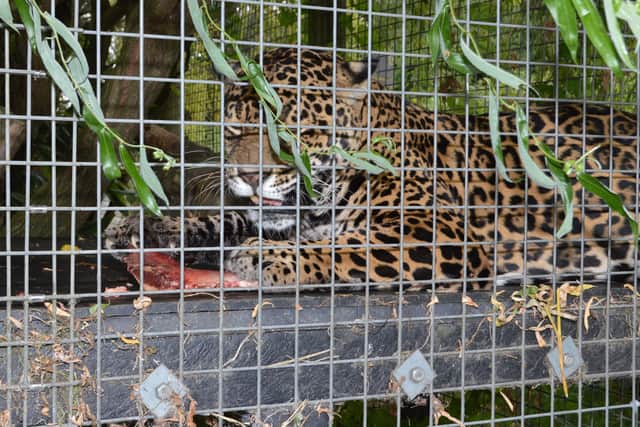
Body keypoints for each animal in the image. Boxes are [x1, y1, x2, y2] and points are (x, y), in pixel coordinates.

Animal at [105, 47, 639, 291]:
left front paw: (267, 256)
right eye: (233, 129)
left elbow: (348, 247)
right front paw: (146, 224)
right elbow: (231, 216)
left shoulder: (436, 231)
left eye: (294, 130)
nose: (250, 176)